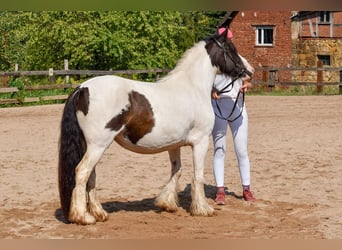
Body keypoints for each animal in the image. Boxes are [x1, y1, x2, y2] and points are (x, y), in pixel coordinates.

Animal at [57, 27, 252, 225]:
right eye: (232, 49)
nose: (249, 71)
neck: (192, 88)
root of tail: (82, 88)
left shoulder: (174, 145)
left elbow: (177, 171)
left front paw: (167, 204)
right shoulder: (201, 142)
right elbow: (198, 175)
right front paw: (202, 209)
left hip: (91, 146)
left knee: (91, 176)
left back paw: (99, 213)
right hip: (98, 145)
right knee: (82, 172)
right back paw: (83, 217)